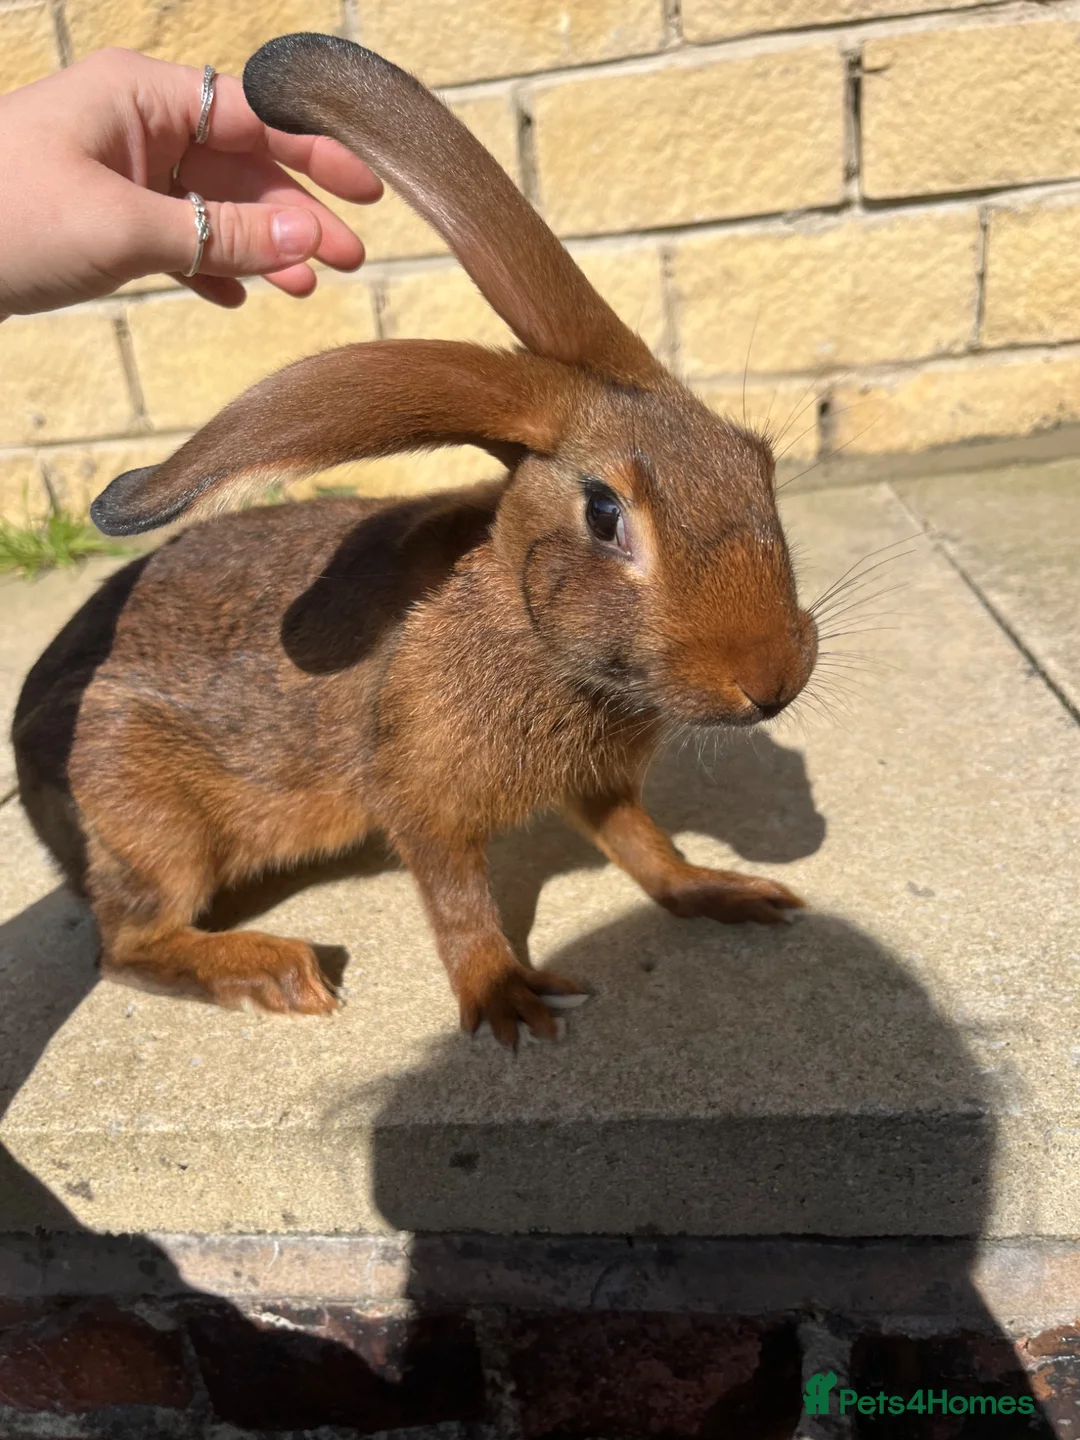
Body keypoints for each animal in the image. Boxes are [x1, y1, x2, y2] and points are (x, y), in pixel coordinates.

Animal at [13, 33, 817, 1046]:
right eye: (605, 513)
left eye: (759, 463)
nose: (772, 682)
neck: (521, 617)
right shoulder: (422, 798)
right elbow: (455, 897)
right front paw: (509, 999)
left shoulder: (599, 786)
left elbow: (644, 845)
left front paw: (724, 891)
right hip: (153, 820)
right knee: (127, 946)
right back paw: (275, 970)